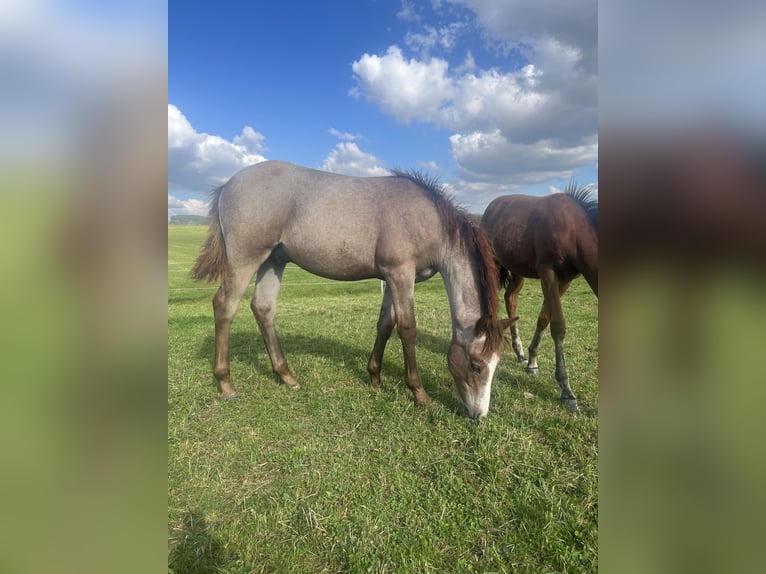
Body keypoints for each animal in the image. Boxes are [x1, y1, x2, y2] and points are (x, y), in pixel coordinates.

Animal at [191, 161, 510, 418]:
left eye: (496, 364)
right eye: (477, 365)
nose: (479, 415)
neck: (428, 219)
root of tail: (228, 184)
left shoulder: (391, 278)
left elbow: (386, 324)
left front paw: (375, 378)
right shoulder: (400, 274)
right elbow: (407, 329)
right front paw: (419, 393)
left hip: (273, 260)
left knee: (263, 308)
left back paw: (286, 376)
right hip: (245, 259)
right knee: (225, 306)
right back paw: (226, 383)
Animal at [480, 182, 600, 412]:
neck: (572, 229)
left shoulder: (565, 279)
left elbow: (544, 318)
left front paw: (532, 362)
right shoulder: (548, 273)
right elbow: (558, 325)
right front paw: (566, 389)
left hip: (518, 269)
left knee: (511, 298)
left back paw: (519, 351)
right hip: (494, 263)